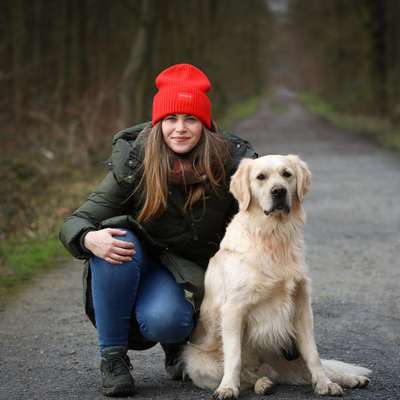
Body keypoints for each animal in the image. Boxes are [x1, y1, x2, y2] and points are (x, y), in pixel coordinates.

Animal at [183, 155, 370, 396]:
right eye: (260, 177)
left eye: (287, 174)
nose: (279, 191)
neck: (274, 234)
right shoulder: (233, 309)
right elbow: (234, 358)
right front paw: (228, 388)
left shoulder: (301, 306)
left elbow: (314, 355)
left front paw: (325, 384)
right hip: (198, 363)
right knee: (250, 375)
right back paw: (262, 383)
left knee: (309, 368)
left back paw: (350, 379)